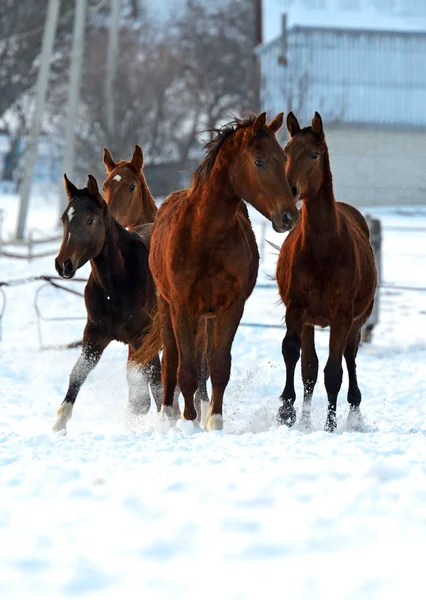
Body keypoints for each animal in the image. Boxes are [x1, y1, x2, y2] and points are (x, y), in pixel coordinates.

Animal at [51, 176, 161, 434]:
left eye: (90, 220)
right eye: (64, 219)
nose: (63, 265)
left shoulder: (143, 337)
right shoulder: (95, 333)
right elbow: (78, 373)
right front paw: (59, 425)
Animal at [136, 112, 300, 432]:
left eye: (282, 158)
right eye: (259, 161)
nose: (289, 216)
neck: (205, 236)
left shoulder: (231, 307)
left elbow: (219, 365)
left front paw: (214, 420)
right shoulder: (182, 306)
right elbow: (184, 369)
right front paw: (188, 421)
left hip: (207, 318)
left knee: (203, 365)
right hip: (166, 307)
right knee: (171, 361)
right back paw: (169, 415)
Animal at [276, 111, 376, 432]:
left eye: (314, 154)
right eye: (285, 153)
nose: (290, 190)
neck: (322, 250)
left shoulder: (342, 317)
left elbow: (334, 371)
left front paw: (330, 426)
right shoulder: (296, 310)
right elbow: (294, 354)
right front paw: (286, 412)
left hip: (357, 321)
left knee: (349, 358)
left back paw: (353, 412)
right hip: (310, 321)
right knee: (309, 368)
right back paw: (306, 419)